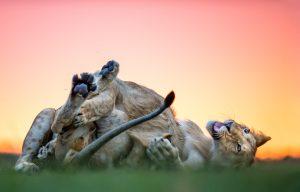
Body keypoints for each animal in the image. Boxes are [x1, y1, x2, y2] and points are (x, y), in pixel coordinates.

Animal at [15, 60, 270, 172]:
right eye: (245, 130)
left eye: (238, 147)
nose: (229, 125)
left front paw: (164, 155)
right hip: (45, 114)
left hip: (111, 126)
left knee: (69, 123)